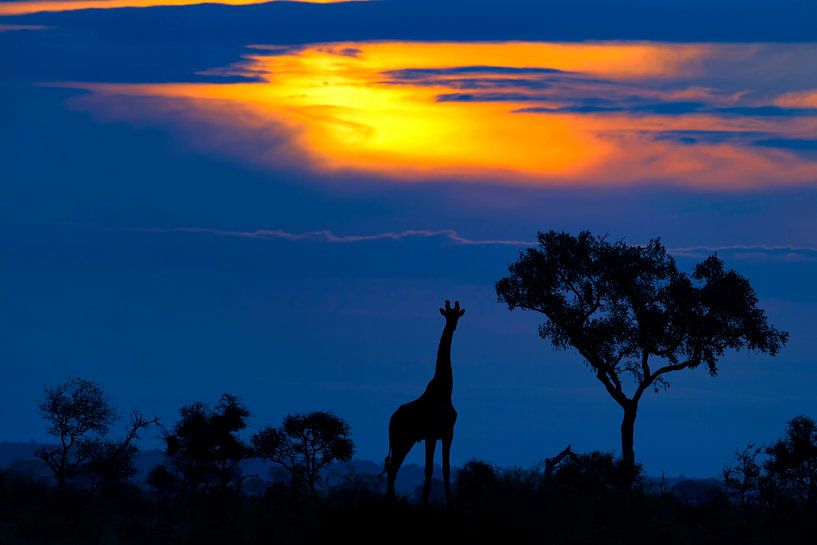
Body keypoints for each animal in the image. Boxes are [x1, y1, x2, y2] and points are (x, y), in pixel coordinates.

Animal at [384, 300, 464, 508]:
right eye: (447, 315)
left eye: (457, 315)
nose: (453, 326)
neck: (445, 390)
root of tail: (391, 419)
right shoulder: (432, 434)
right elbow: (429, 470)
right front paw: (426, 505)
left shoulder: (447, 433)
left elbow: (445, 469)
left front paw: (449, 505)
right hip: (401, 438)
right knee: (393, 467)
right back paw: (390, 502)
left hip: (408, 440)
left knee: (393, 466)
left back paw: (391, 501)